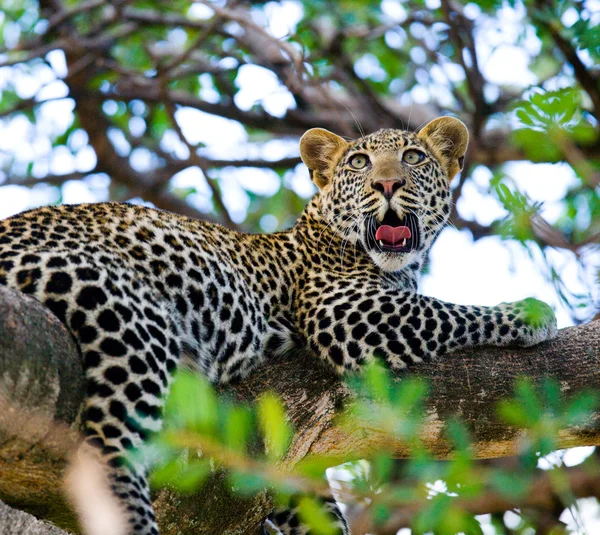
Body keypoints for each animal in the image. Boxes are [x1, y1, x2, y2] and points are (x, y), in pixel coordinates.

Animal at [0, 118, 556, 535]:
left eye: (414, 157)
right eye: (359, 163)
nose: (387, 184)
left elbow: (311, 500)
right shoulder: (344, 310)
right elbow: (449, 311)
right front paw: (530, 313)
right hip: (124, 312)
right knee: (111, 452)